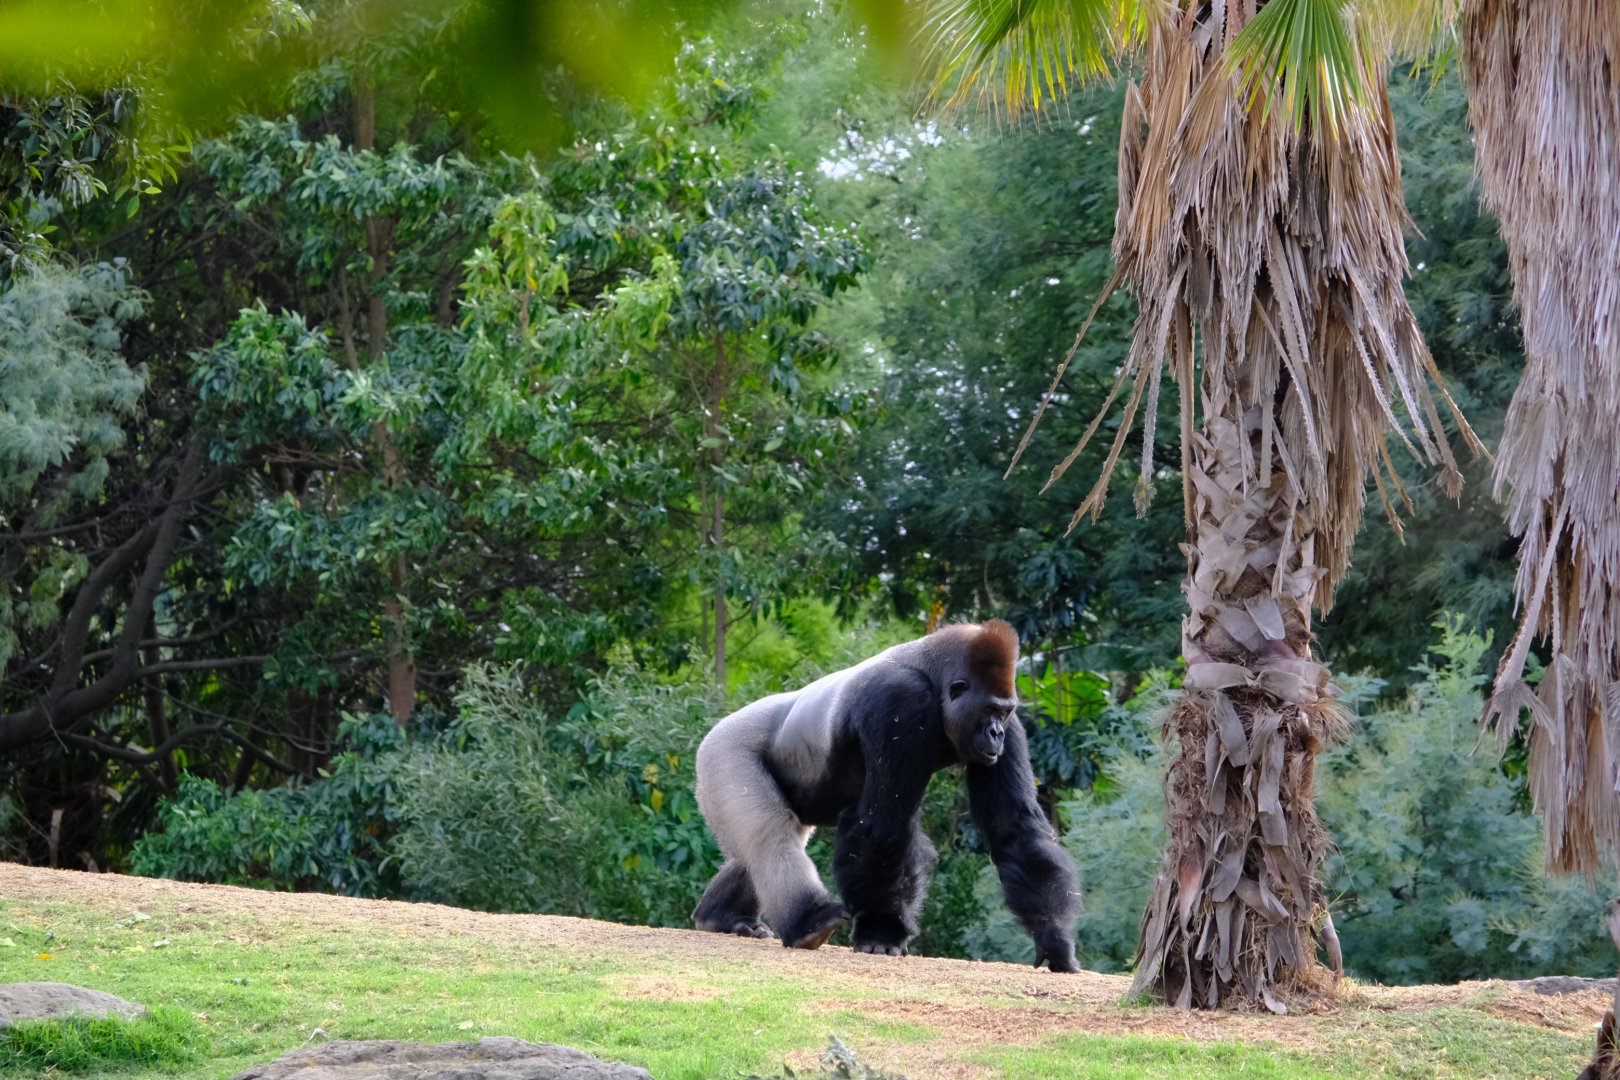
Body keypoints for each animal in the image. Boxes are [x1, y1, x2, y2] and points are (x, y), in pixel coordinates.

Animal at [691, 619, 1080, 971]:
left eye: (1004, 712)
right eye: (989, 711)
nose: (996, 734)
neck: (933, 677)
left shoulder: (1011, 727)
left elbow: (1013, 826)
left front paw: (1054, 938)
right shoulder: (902, 701)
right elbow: (883, 823)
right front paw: (881, 930)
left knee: (764, 845)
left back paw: (721, 916)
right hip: (724, 750)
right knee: (769, 836)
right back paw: (807, 922)